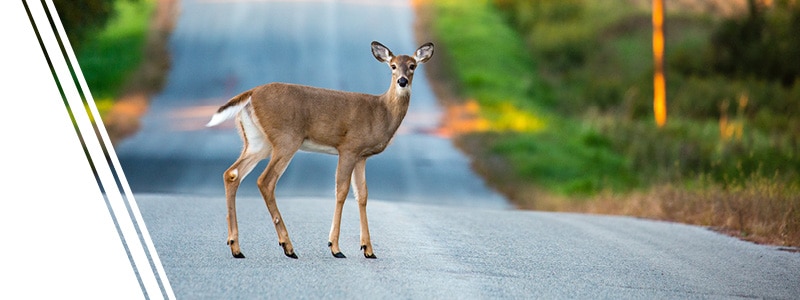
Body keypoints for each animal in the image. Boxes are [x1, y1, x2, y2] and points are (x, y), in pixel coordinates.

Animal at [203, 41, 434, 258]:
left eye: (412, 66)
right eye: (393, 66)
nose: (402, 81)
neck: (381, 112)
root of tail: (250, 94)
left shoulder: (362, 156)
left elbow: (362, 195)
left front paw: (368, 249)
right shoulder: (349, 147)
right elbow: (341, 191)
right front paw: (335, 247)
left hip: (257, 141)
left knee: (232, 174)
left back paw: (236, 247)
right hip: (286, 139)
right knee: (265, 181)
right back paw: (287, 246)